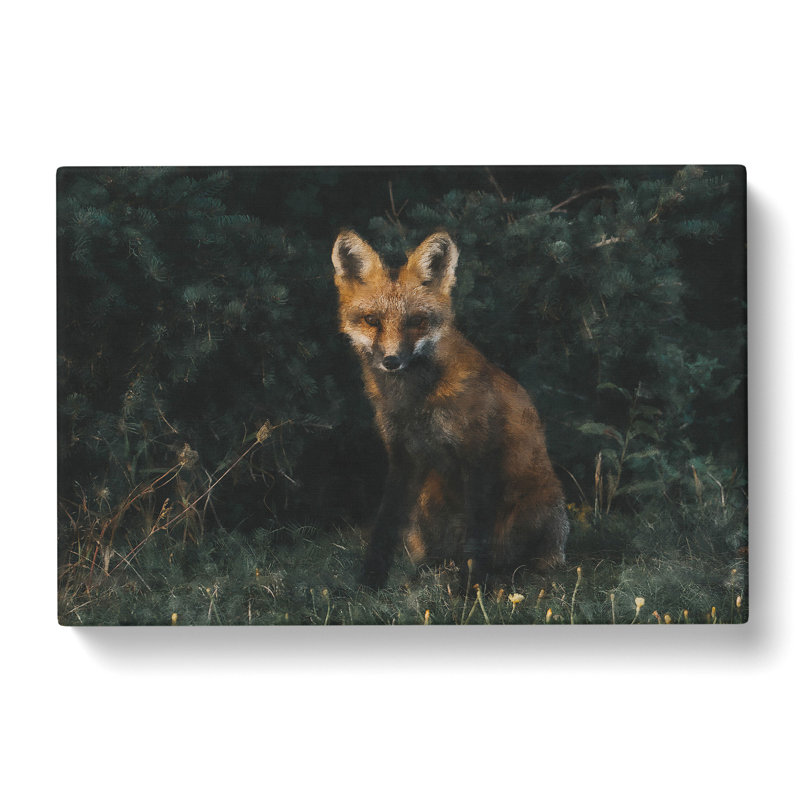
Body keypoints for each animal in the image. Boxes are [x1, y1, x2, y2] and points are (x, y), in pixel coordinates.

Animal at [331, 229, 568, 589]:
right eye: (372, 320)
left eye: (417, 321)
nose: (391, 361)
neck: (416, 403)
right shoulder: (402, 457)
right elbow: (384, 526)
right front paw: (369, 582)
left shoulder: (478, 455)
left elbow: (478, 536)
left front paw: (474, 591)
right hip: (425, 509)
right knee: (438, 556)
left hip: (541, 508)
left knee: (525, 560)